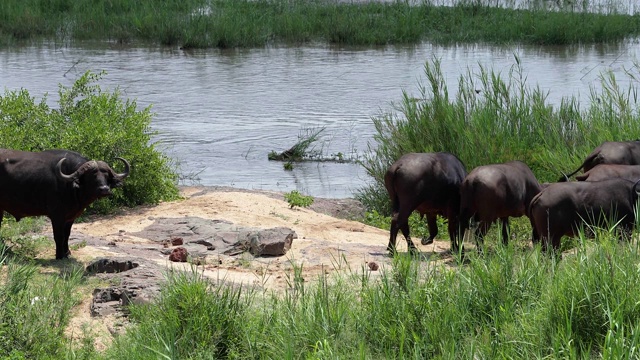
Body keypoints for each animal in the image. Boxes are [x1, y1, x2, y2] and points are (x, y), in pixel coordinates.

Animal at [0, 149, 130, 258]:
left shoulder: (70, 217)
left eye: (106, 175)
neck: (71, 187)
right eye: (92, 176)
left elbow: (67, 235)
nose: (104, 189)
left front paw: (67, 253)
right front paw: (59, 255)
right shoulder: (57, 216)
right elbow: (59, 236)